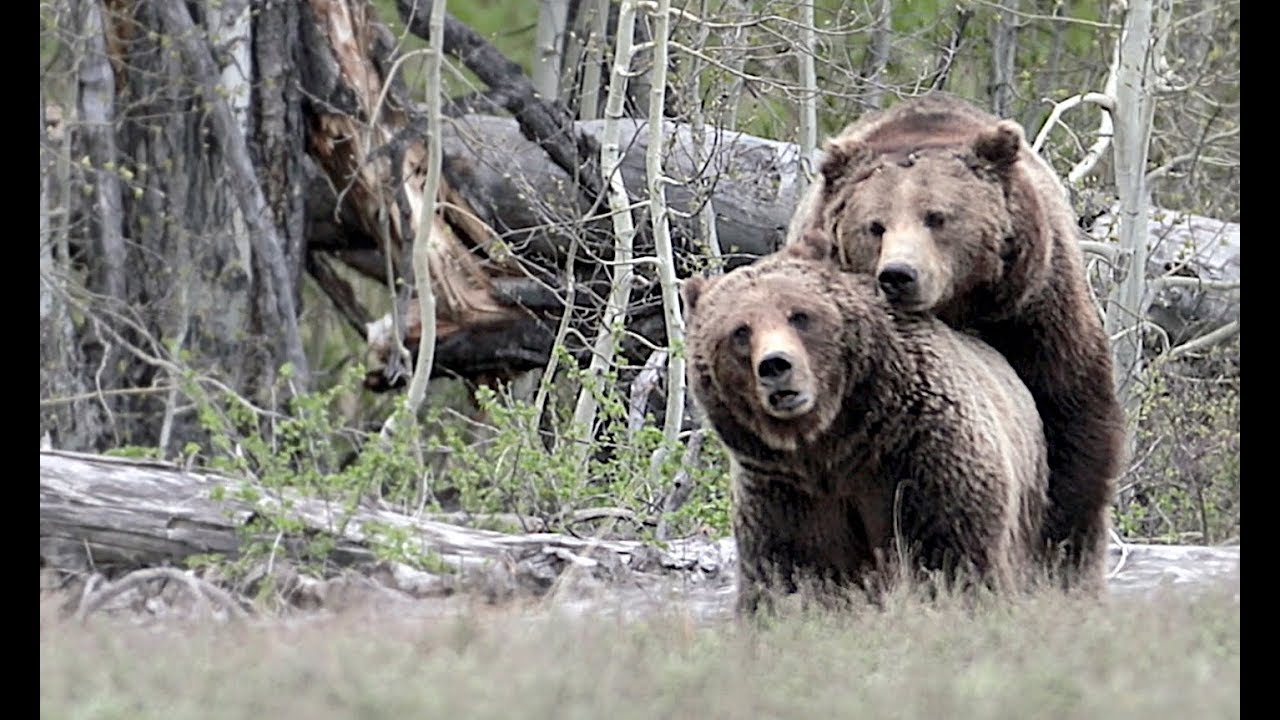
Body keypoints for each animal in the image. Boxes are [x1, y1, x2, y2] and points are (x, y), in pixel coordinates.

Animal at [686, 229, 1044, 609]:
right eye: (740, 331)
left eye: (799, 315)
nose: (775, 365)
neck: (834, 442)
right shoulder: (784, 496)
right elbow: (788, 575)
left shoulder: (920, 453)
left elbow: (950, 548)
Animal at [783, 90, 1126, 594]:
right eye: (875, 225)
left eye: (936, 217)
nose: (899, 275)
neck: (959, 308)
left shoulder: (1038, 317)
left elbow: (1074, 430)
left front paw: (1063, 560)